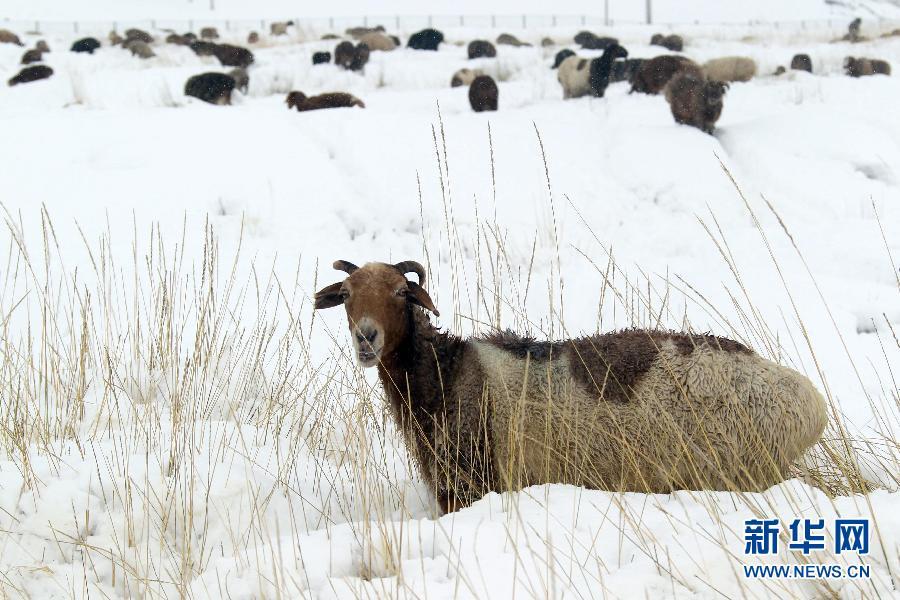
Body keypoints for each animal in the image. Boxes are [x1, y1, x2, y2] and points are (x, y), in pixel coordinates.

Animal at [314, 260, 828, 512]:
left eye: (403, 292)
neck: (446, 375)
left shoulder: (471, 485)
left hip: (740, 472)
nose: (366, 338)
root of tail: (809, 401)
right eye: (345, 295)